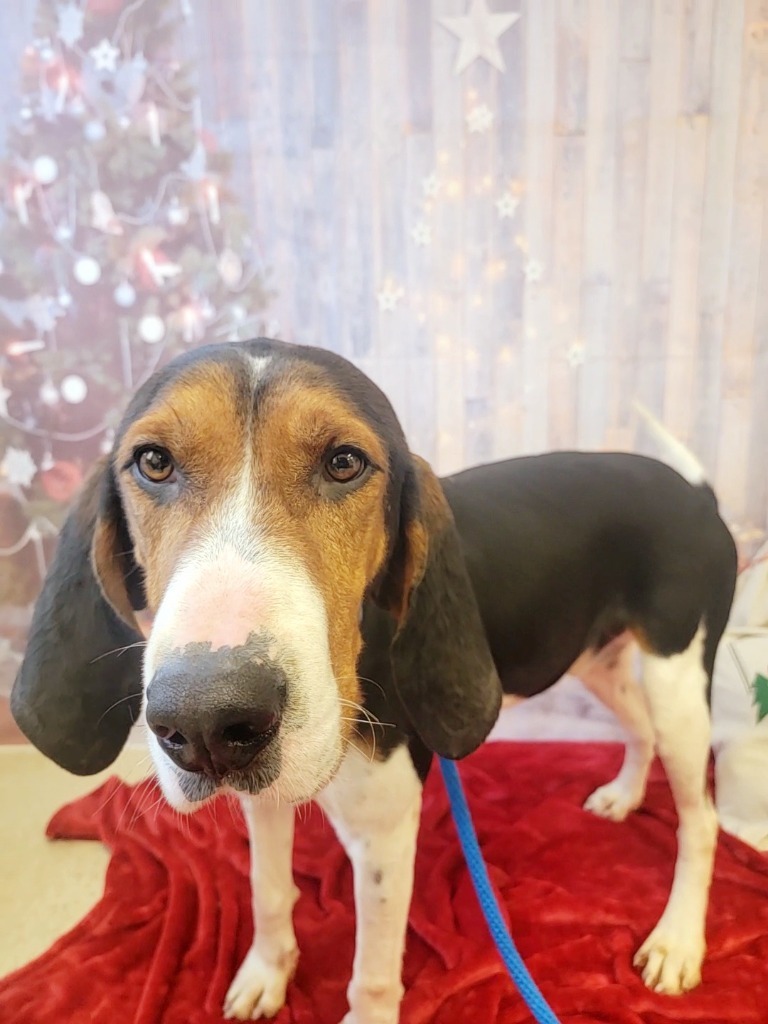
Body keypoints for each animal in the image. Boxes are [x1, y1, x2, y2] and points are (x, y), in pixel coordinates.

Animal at [13, 339, 741, 1019]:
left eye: (344, 462)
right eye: (153, 462)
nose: (205, 720)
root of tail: (696, 495)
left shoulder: (384, 834)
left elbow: (371, 972)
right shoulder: (262, 802)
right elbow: (268, 891)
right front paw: (268, 972)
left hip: (679, 679)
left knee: (701, 819)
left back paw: (678, 940)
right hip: (599, 662)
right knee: (640, 730)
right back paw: (624, 795)